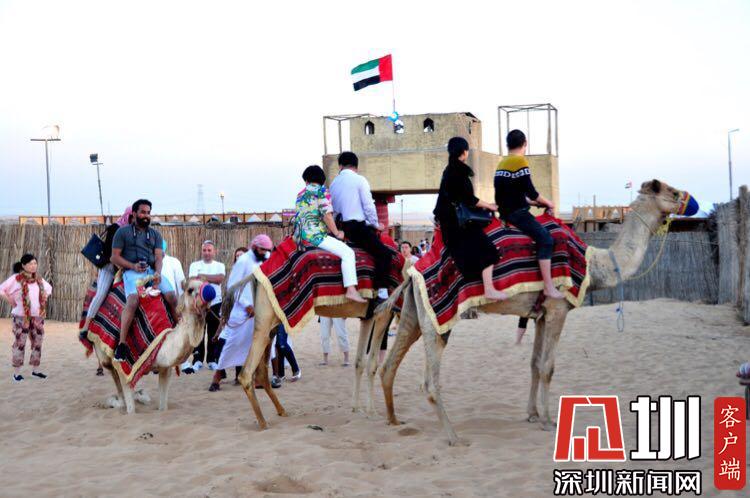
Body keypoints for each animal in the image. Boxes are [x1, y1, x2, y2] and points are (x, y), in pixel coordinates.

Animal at [91, 278, 213, 414]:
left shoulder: (165, 367)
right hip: (104, 355)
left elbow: (163, 407)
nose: (210, 292)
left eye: (207, 283)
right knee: (112, 371)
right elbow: (131, 410)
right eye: (190, 290)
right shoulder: (126, 370)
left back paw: (138, 396)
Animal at [376, 179, 695, 445]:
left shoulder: (540, 314)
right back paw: (454, 437)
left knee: (389, 365)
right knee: (429, 381)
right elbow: (548, 367)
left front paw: (531, 414)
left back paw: (394, 420)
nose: (691, 201)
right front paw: (549, 420)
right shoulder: (557, 309)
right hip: (439, 315)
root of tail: (415, 269)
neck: (594, 264)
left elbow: (533, 363)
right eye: (672, 192)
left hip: (414, 310)